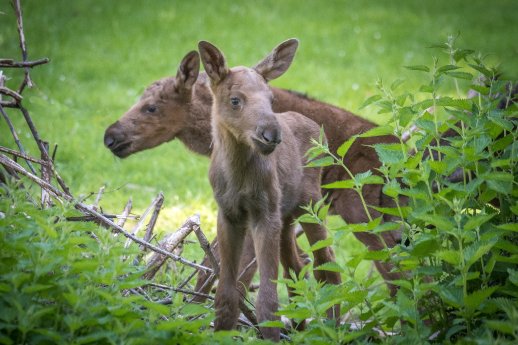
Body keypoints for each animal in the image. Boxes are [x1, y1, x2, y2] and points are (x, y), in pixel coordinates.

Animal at [201, 39, 344, 340]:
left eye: (271, 100)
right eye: (235, 100)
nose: (271, 134)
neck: (237, 175)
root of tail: (319, 131)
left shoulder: (265, 213)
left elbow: (267, 301)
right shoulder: (229, 214)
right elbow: (226, 295)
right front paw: (221, 332)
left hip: (311, 205)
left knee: (327, 264)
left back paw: (332, 327)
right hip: (286, 215)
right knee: (297, 266)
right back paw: (301, 327)